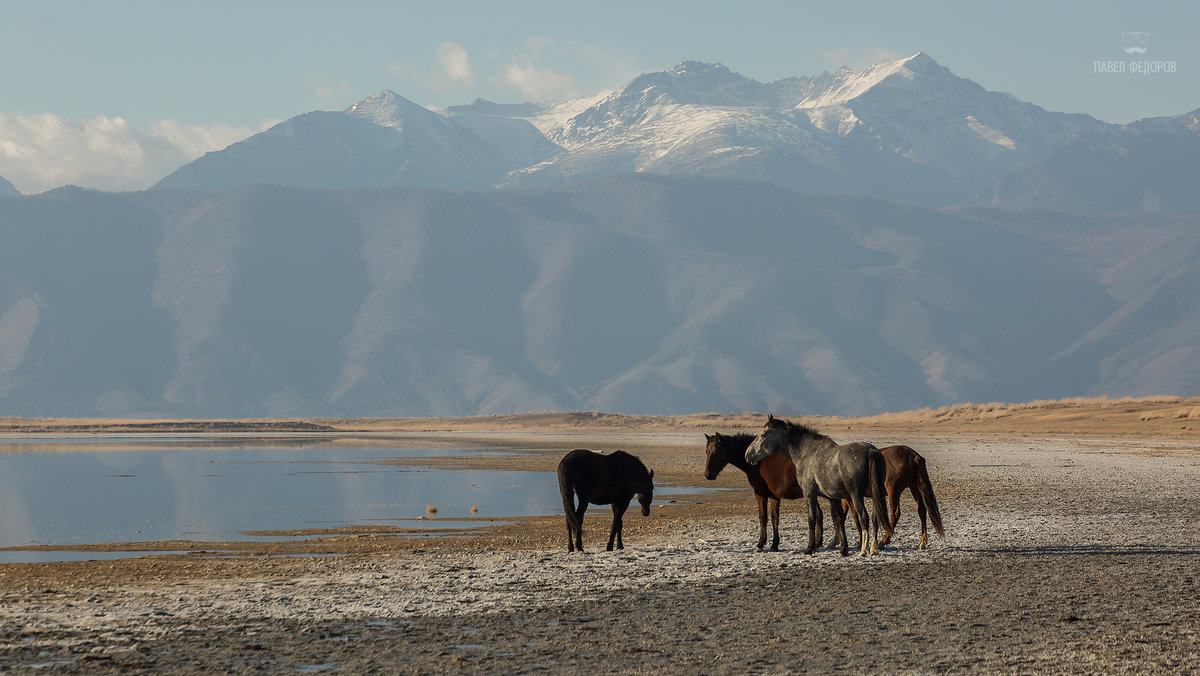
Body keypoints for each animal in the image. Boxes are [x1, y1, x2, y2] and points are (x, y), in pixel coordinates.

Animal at [748, 415, 892, 557]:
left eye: (763, 435)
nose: (748, 454)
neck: (806, 453)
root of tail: (871, 450)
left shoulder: (809, 494)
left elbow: (812, 519)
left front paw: (809, 548)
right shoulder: (833, 498)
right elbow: (838, 520)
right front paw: (843, 550)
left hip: (856, 496)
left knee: (864, 517)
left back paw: (863, 550)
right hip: (875, 494)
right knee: (875, 518)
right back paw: (873, 549)